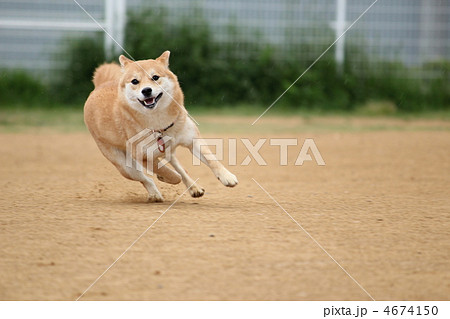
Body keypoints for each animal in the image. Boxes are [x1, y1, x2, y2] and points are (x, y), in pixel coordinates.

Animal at [85, 52, 239, 202]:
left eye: (155, 77)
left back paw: (193, 187)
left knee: (178, 166)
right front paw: (165, 177)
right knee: (146, 179)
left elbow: (211, 159)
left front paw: (227, 177)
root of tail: (99, 86)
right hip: (125, 167)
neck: (160, 124)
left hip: (166, 151)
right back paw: (155, 194)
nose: (146, 90)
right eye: (135, 81)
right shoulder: (144, 157)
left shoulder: (193, 140)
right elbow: (170, 174)